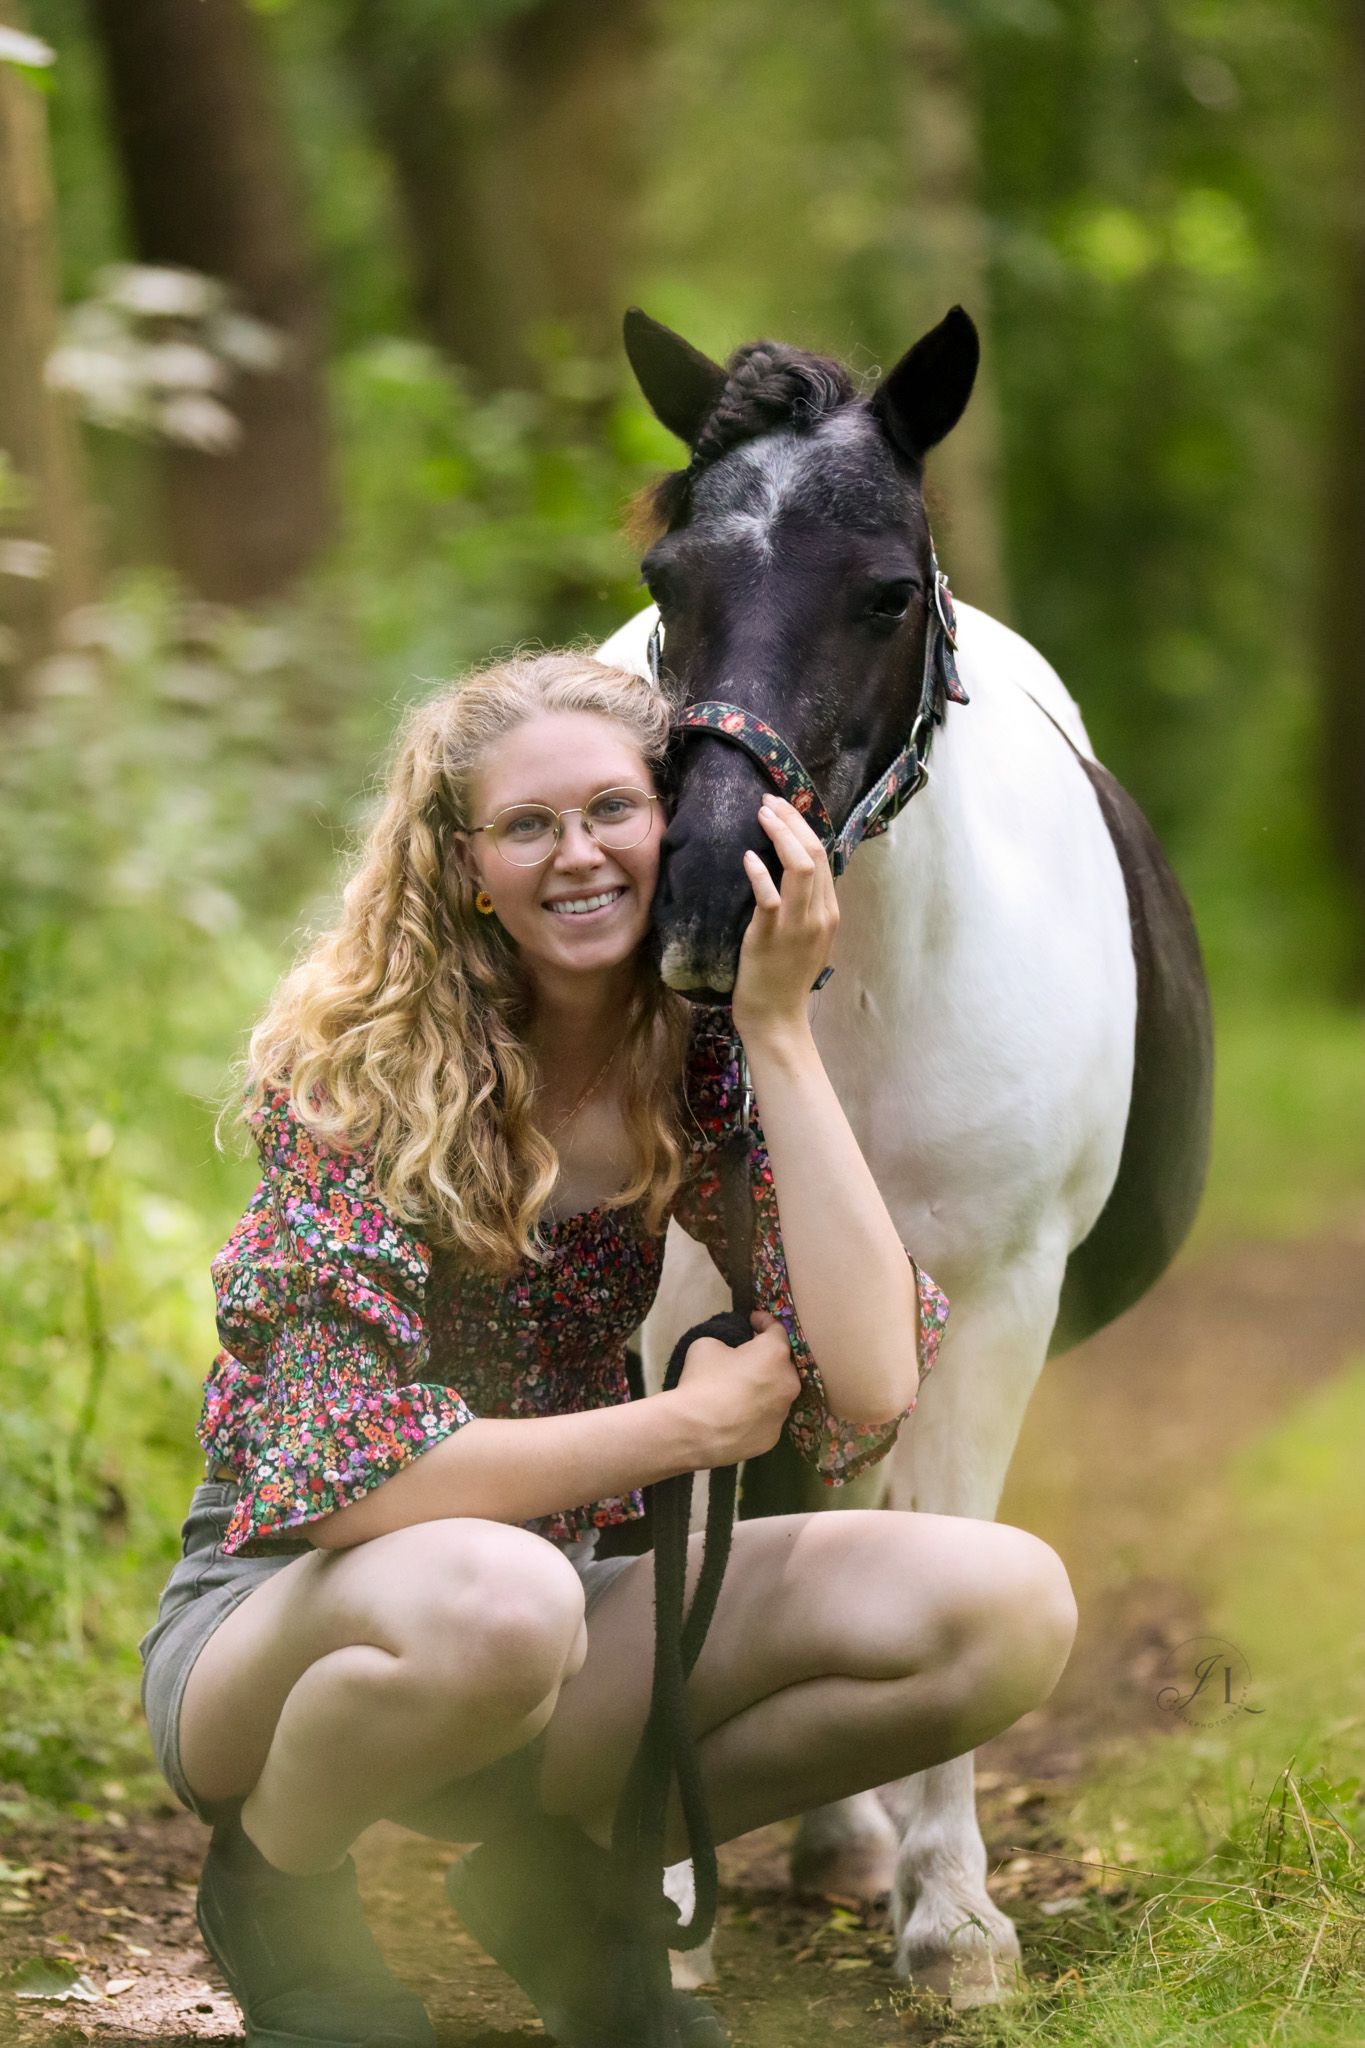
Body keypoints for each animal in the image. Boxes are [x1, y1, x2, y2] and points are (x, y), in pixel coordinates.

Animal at [595, 304, 1214, 2007]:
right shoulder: (676, 1321)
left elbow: (939, 1542)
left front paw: (951, 1915)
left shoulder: (997, 1304)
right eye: (670, 578)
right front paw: (659, 1904)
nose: (699, 902)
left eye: (880, 590)